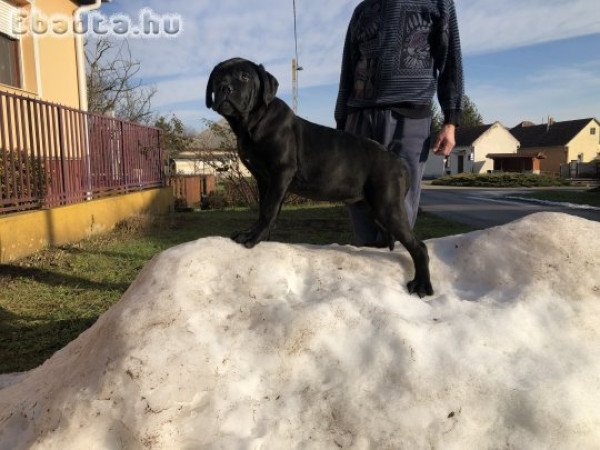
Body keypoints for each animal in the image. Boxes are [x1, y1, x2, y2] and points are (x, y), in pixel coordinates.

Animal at [206, 58, 432, 298]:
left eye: (245, 76)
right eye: (217, 77)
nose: (224, 88)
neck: (253, 122)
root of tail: (397, 161)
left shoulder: (280, 173)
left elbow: (269, 209)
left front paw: (253, 237)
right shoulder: (264, 179)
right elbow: (264, 208)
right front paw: (259, 235)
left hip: (387, 206)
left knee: (418, 246)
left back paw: (422, 284)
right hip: (371, 206)